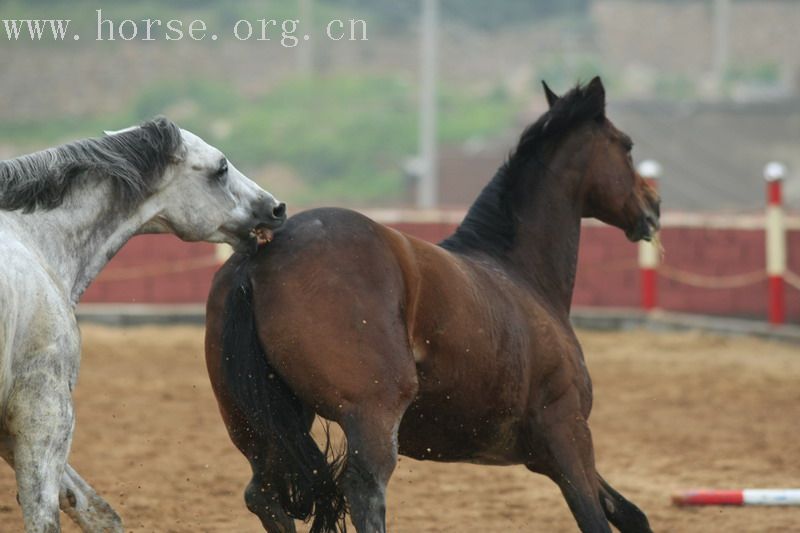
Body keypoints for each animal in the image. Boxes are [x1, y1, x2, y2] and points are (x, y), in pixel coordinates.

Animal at [205, 78, 656, 532]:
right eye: (626, 145)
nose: (652, 208)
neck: (520, 274)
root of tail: (260, 256)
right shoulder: (567, 434)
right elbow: (598, 518)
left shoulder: (546, 452)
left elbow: (630, 513)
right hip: (372, 418)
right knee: (363, 492)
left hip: (260, 426)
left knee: (263, 495)